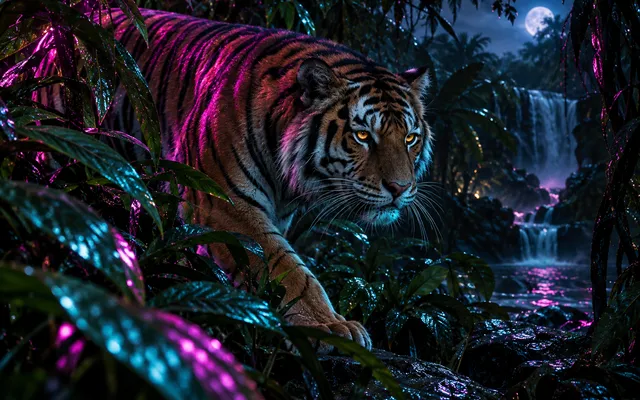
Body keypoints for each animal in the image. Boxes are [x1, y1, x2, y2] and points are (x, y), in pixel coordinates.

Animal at [39, 8, 434, 350]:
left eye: (410, 138)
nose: (399, 189)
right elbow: (289, 268)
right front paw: (329, 327)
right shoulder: (223, 205)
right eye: (363, 135)